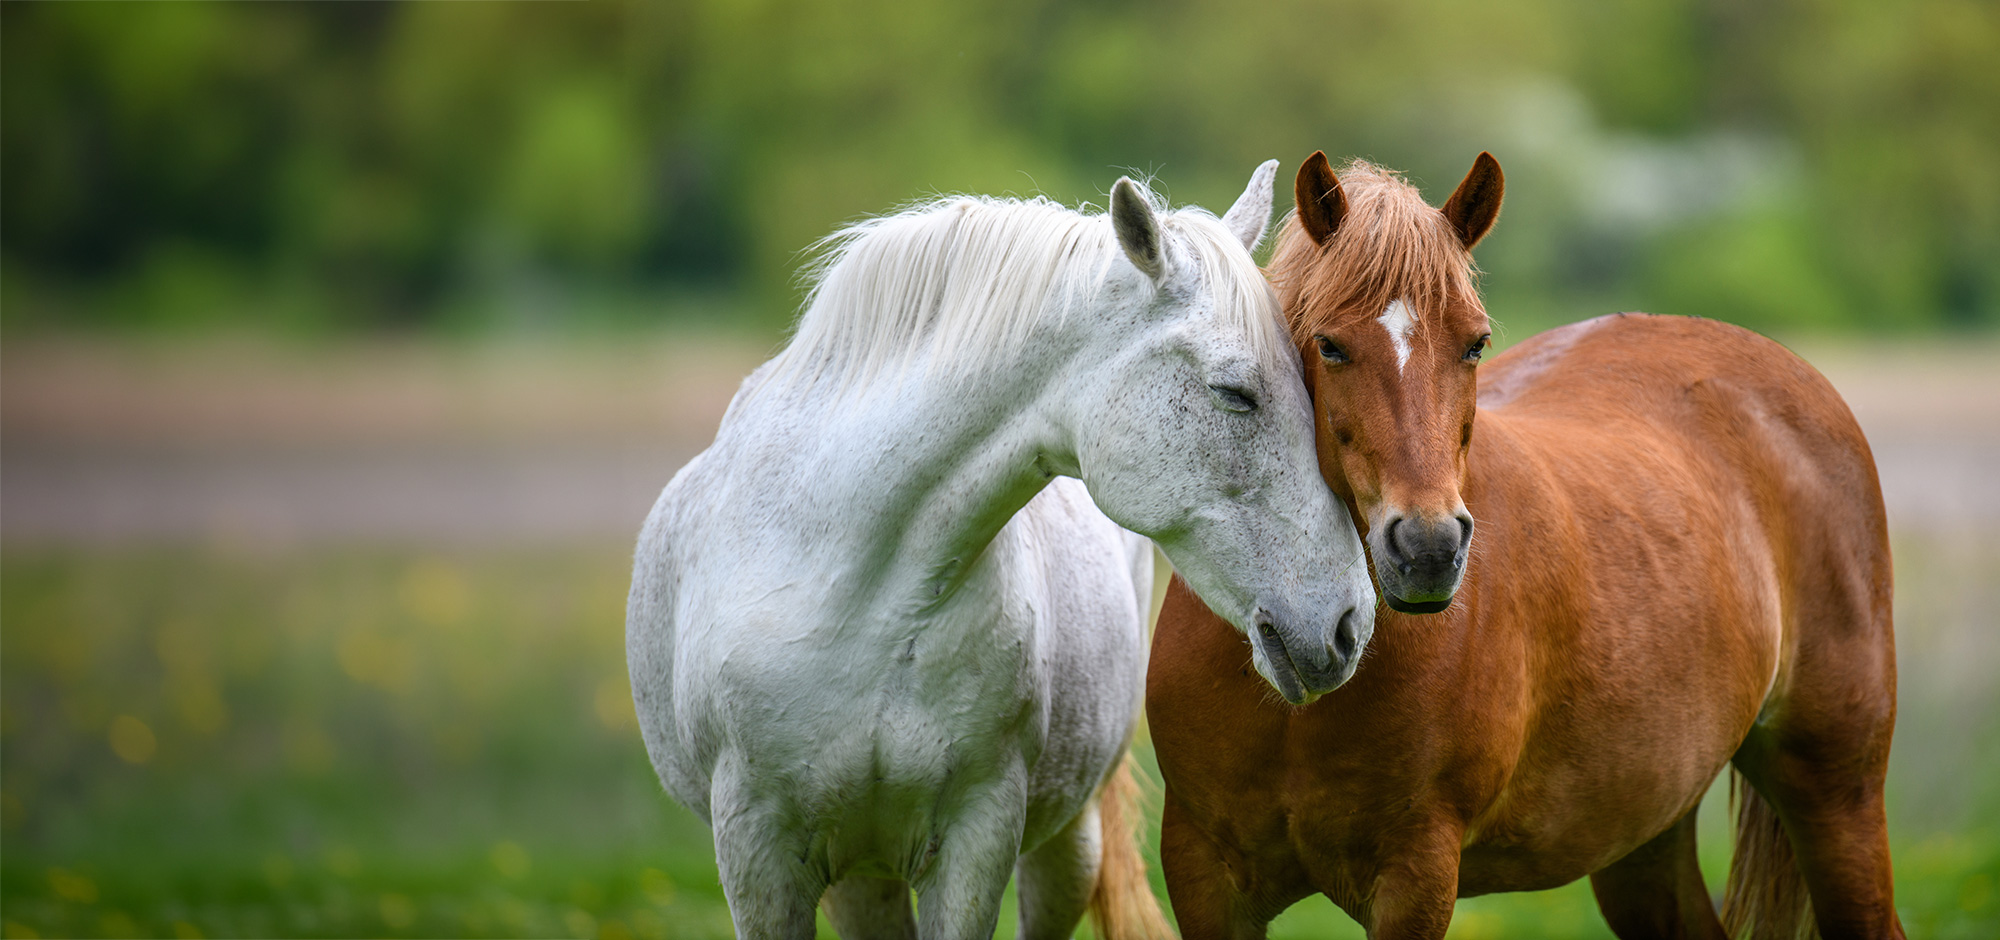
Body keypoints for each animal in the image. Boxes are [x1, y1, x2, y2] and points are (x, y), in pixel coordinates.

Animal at [626, 162, 1377, 939]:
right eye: (1236, 392)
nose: (1350, 624)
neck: (848, 585)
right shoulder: (757, 854)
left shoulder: (976, 836)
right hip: (860, 877)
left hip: (1062, 847)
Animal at [1146, 151, 1904, 940]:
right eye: (1329, 344)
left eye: (1475, 343)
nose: (1428, 549)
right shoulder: (1204, 874)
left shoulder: (1415, 875)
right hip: (1645, 839)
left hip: (1836, 796)